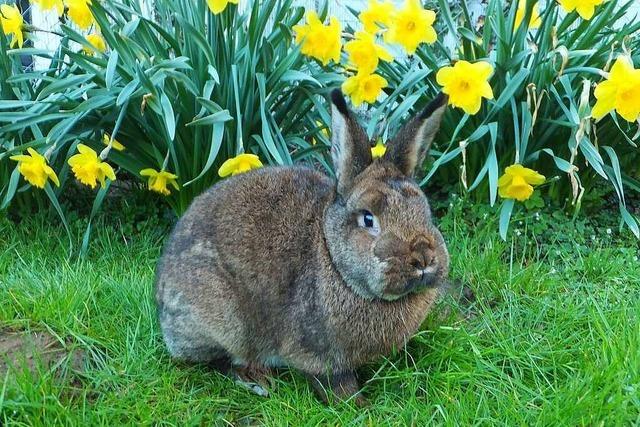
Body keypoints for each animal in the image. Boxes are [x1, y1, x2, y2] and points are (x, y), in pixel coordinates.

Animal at [154, 89, 450, 404]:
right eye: (368, 219)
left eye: (424, 210)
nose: (423, 258)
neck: (333, 259)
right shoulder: (319, 356)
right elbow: (335, 383)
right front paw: (359, 404)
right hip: (224, 321)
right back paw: (256, 381)